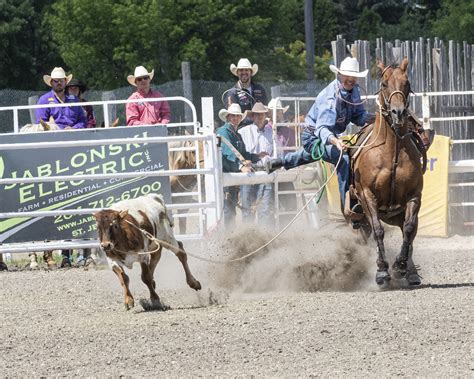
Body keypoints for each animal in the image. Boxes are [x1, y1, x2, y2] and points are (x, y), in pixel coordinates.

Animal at [354, 58, 424, 286]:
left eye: (407, 84)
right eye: (384, 83)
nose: (398, 113)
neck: (391, 152)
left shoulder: (414, 195)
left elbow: (409, 229)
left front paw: (400, 265)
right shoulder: (367, 195)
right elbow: (378, 230)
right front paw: (382, 270)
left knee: (408, 231)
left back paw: (410, 272)